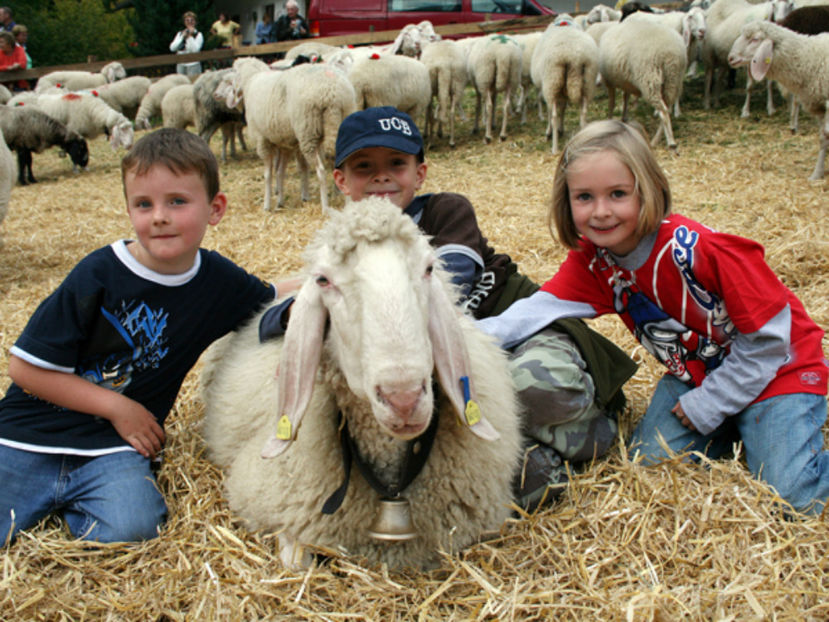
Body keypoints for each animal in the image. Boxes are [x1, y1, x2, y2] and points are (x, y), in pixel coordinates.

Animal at [217, 58, 356, 214]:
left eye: (231, 76)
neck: (251, 81)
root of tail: (332, 93)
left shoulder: (262, 140)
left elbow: (268, 175)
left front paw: (267, 204)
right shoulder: (285, 144)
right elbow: (280, 172)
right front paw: (280, 201)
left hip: (307, 132)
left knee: (321, 171)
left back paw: (325, 207)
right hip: (341, 122)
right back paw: (349, 204)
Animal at [532, 17, 600, 154]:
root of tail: (574, 57)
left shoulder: (548, 88)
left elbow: (551, 111)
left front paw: (550, 131)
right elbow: (563, 108)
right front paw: (561, 129)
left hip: (552, 80)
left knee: (553, 115)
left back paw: (554, 147)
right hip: (588, 81)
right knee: (583, 114)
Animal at [600, 20, 684, 150]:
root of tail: (670, 52)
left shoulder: (610, 81)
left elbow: (611, 103)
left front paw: (609, 120)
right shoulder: (626, 82)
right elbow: (625, 98)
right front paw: (624, 118)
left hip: (650, 79)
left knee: (663, 112)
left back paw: (669, 142)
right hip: (673, 80)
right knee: (667, 109)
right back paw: (657, 139)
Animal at [728, 22, 828, 178]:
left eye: (755, 39)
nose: (730, 58)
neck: (809, 58)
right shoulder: (819, 107)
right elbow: (823, 139)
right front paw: (816, 174)